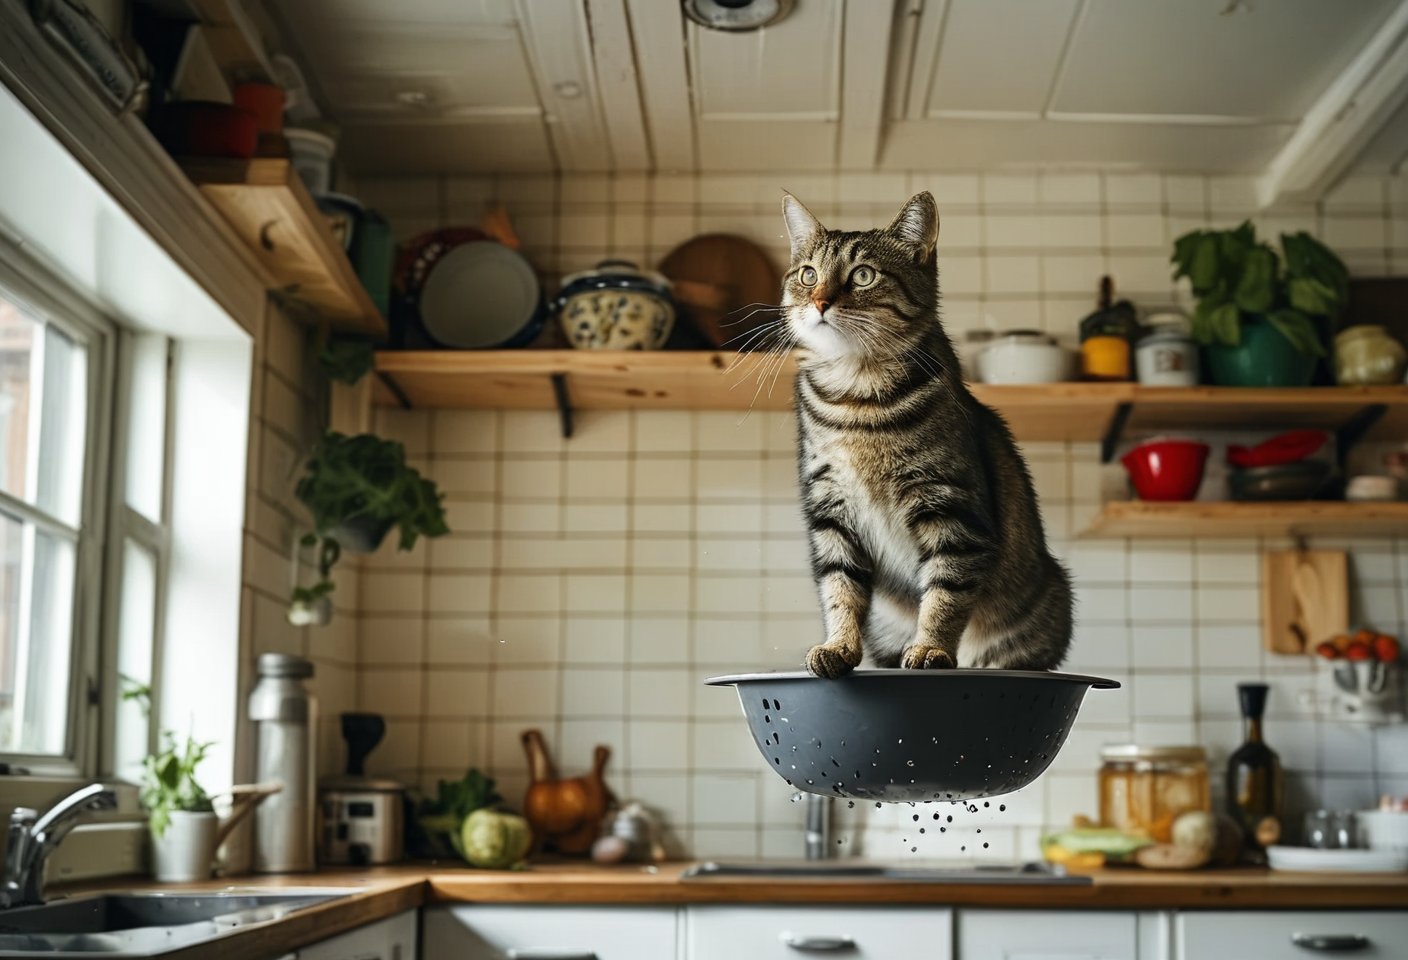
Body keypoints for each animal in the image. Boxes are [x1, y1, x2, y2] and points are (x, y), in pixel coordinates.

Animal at [782, 190, 1075, 675]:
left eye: (863, 275)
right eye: (808, 275)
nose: (820, 301)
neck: (856, 400)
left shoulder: (952, 510)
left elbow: (945, 594)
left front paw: (930, 650)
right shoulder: (831, 509)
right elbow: (839, 589)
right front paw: (838, 646)